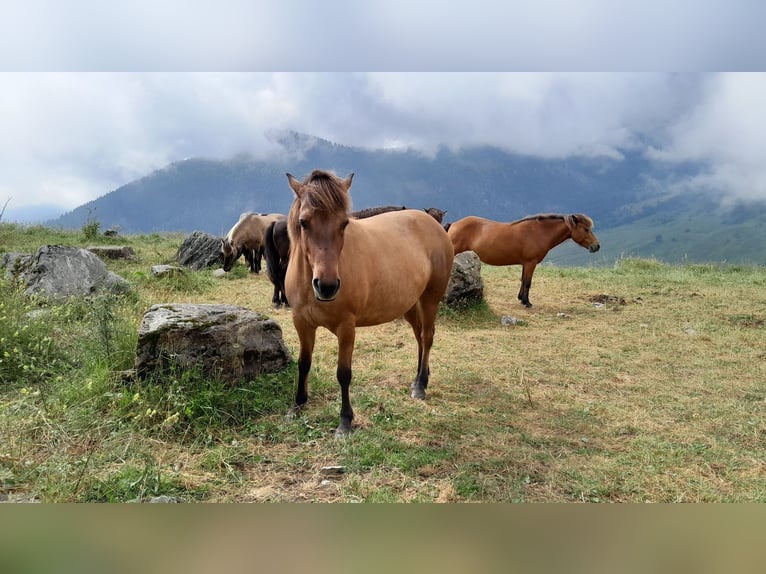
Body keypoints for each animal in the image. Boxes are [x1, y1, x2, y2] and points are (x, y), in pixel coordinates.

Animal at [285, 169, 455, 437]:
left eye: (344, 223)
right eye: (303, 222)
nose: (327, 286)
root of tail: (434, 225)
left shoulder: (346, 328)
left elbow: (343, 374)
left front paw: (345, 421)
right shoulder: (301, 323)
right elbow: (304, 364)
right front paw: (298, 405)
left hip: (430, 299)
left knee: (427, 337)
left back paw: (421, 386)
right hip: (410, 304)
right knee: (419, 337)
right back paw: (419, 377)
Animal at [447, 213, 600, 308]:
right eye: (586, 229)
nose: (597, 246)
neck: (538, 232)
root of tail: (454, 224)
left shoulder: (525, 264)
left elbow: (522, 280)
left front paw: (521, 298)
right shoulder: (531, 263)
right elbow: (527, 282)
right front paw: (527, 302)